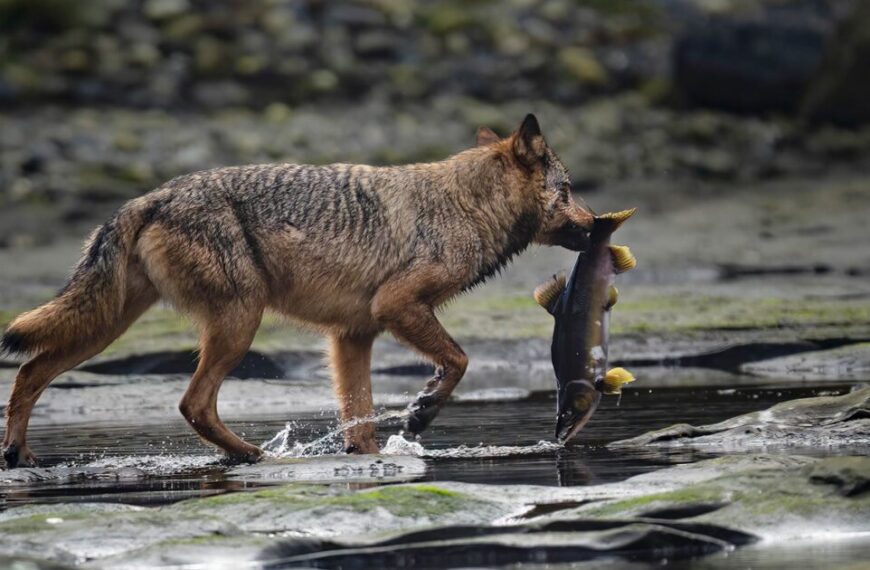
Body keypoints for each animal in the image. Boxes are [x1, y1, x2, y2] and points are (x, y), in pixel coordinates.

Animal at [1, 114, 593, 467]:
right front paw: (422, 411)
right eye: (569, 190)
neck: (466, 206)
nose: (598, 226)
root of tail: (151, 196)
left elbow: (360, 422)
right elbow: (459, 361)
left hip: (105, 327)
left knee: (29, 373)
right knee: (193, 403)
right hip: (237, 326)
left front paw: (370, 457)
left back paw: (18, 457)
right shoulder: (398, 306)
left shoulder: (354, 336)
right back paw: (257, 456)